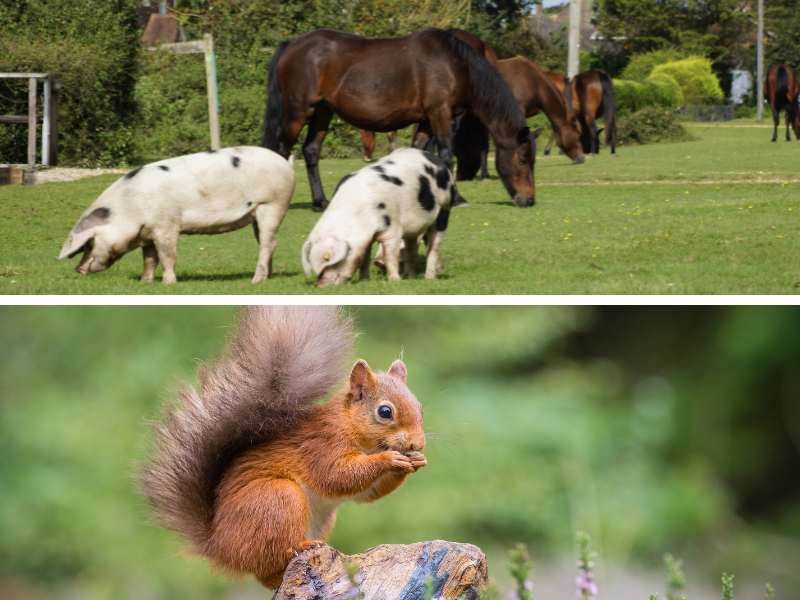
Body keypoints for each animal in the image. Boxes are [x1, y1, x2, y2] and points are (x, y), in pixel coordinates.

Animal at [58, 146, 295, 284]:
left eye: (90, 243)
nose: (78, 269)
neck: (129, 208)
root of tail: (287, 163)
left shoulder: (166, 225)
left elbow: (167, 255)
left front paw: (168, 283)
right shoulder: (148, 231)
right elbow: (149, 259)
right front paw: (145, 283)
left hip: (273, 204)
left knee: (268, 242)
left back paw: (256, 280)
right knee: (265, 242)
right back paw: (267, 278)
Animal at [138, 306, 427, 589]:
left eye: (420, 407)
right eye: (385, 412)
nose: (418, 443)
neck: (350, 427)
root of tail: (219, 545)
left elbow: (368, 493)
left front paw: (416, 461)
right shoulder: (321, 447)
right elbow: (338, 476)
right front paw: (390, 459)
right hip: (278, 500)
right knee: (270, 566)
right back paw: (300, 548)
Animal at [264, 28, 537, 209]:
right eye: (523, 160)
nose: (529, 199)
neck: (455, 64)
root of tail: (293, 44)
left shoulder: (427, 120)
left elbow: (421, 154)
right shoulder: (440, 113)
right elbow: (446, 155)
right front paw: (457, 198)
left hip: (322, 111)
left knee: (311, 151)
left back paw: (321, 201)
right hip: (298, 112)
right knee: (280, 151)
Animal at [302, 147, 455, 286]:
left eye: (333, 262)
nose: (319, 285)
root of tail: (435, 158)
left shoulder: (393, 226)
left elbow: (390, 254)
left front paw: (394, 281)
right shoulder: (365, 239)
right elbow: (364, 258)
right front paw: (363, 281)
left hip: (444, 208)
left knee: (433, 245)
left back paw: (429, 278)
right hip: (413, 227)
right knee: (411, 247)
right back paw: (408, 278)